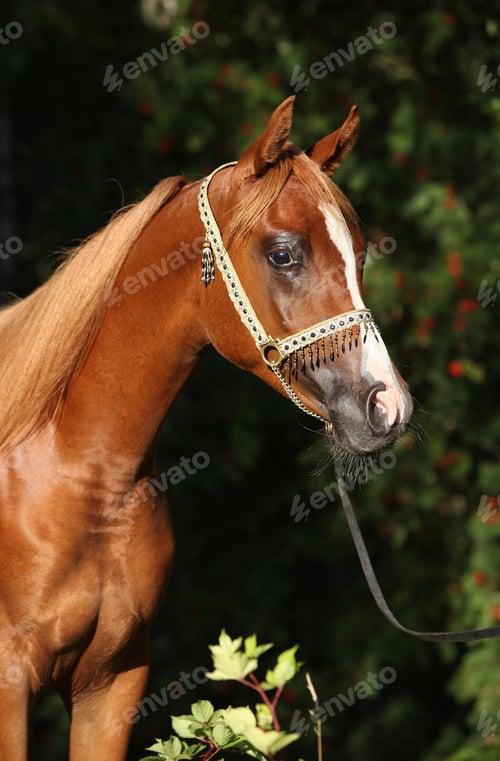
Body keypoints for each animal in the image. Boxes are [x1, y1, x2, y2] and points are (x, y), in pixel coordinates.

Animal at [0, 95, 412, 760]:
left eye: (361, 254)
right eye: (283, 253)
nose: (386, 406)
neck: (72, 472)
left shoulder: (111, 683)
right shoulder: (9, 683)